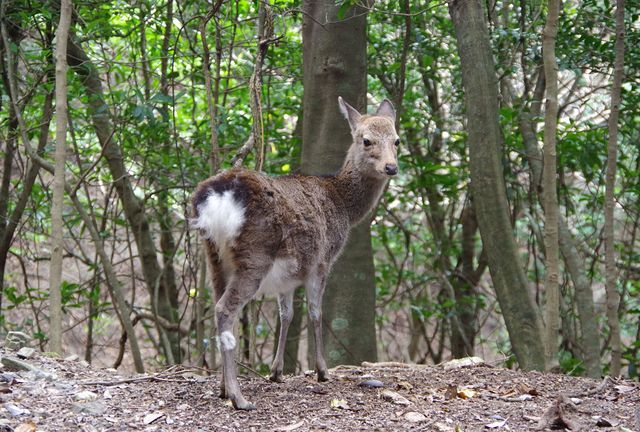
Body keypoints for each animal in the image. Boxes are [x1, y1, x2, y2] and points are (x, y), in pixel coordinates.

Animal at [191, 96, 400, 410]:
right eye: (366, 140)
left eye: (397, 140)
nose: (391, 167)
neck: (343, 206)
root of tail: (217, 196)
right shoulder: (322, 261)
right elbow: (315, 311)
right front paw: (322, 371)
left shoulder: (288, 275)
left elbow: (286, 314)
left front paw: (276, 372)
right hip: (255, 255)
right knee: (225, 309)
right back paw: (239, 397)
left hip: (213, 254)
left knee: (219, 305)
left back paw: (224, 389)